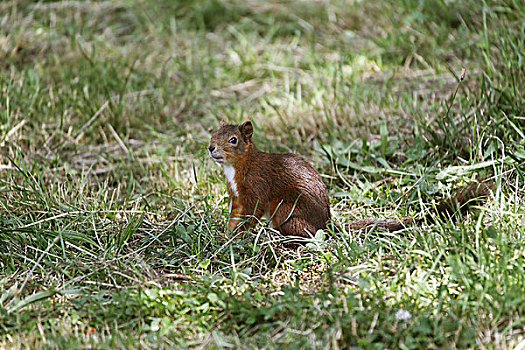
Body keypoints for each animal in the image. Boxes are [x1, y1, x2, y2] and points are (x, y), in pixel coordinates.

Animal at [209, 120, 492, 238]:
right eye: (212, 133)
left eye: (233, 140)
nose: (211, 148)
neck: (237, 167)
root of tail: (326, 224)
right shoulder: (236, 195)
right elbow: (234, 215)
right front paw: (226, 233)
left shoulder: (256, 189)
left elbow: (251, 214)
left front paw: (238, 236)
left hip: (286, 211)